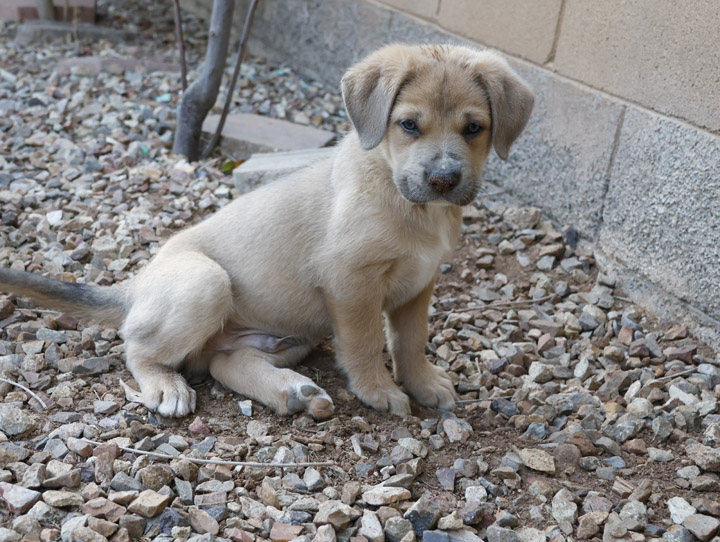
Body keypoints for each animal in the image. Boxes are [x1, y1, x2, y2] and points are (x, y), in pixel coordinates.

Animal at [0, 44, 528, 422]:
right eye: (409, 125)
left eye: (474, 128)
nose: (443, 179)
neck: (408, 201)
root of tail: (135, 287)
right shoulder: (351, 282)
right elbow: (364, 344)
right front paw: (378, 391)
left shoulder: (419, 284)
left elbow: (410, 341)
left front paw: (422, 383)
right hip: (206, 282)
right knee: (138, 345)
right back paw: (168, 387)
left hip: (291, 333)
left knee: (221, 362)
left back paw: (293, 391)